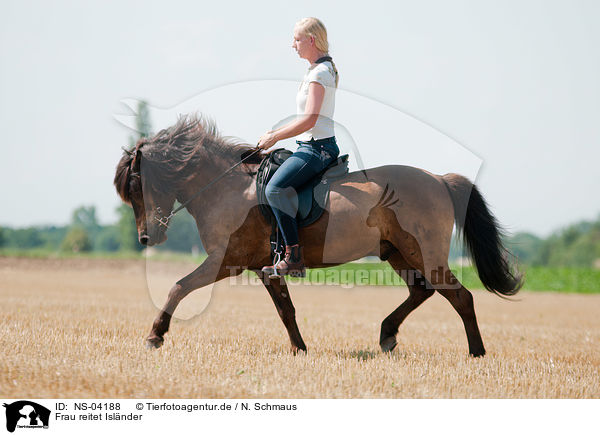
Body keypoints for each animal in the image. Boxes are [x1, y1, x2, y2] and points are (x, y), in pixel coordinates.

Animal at [115, 116, 524, 358]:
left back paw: (476, 353)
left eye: (135, 186)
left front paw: (155, 336)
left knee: (460, 296)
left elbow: (178, 288)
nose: (146, 239)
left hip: (425, 254)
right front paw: (300, 349)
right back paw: (387, 335)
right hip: (397, 253)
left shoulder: (224, 261)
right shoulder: (264, 267)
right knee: (421, 291)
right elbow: (286, 310)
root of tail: (438, 179)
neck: (226, 187)